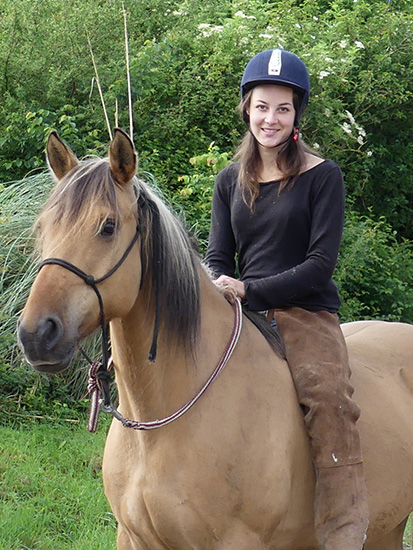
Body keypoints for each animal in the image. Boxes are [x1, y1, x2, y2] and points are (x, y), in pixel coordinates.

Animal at [18, 129, 413, 550]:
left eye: (107, 227)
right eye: (42, 227)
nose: (36, 334)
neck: (161, 425)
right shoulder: (133, 537)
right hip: (388, 527)